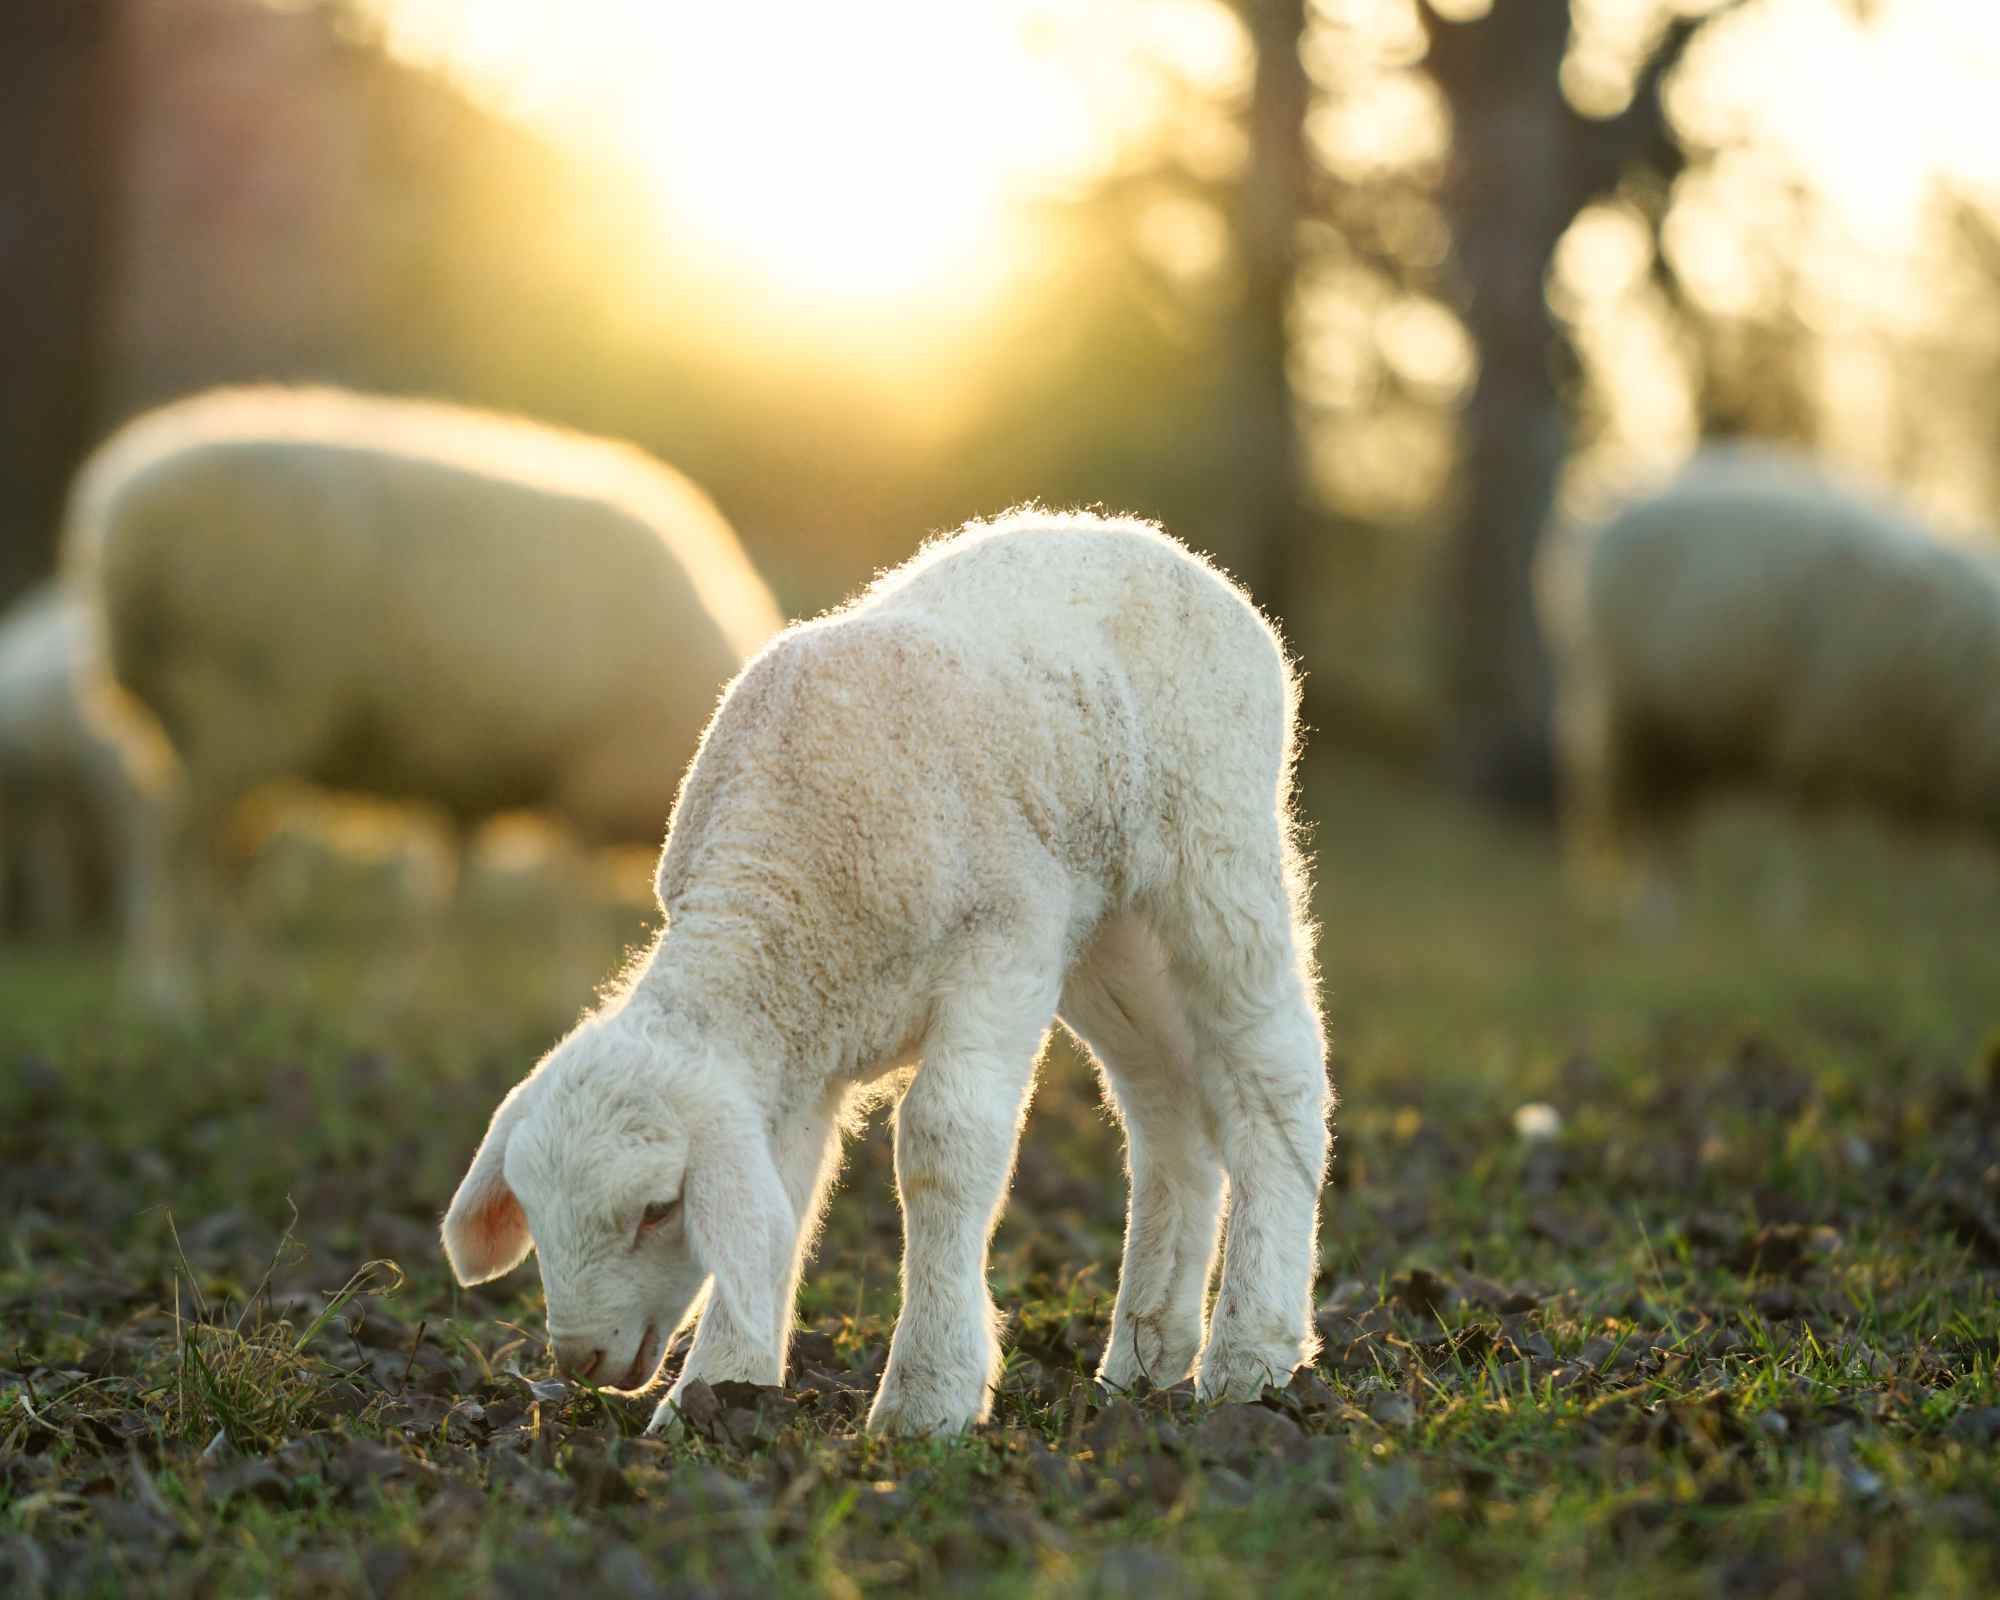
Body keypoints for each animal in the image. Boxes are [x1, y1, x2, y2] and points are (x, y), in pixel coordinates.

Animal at [63, 386, 784, 997]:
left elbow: (444, 891)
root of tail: (121, 512)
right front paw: (565, 980)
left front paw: (415, 989)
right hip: (235, 706)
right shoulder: (587, 782)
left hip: (218, 728)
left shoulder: (475, 785)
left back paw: (257, 981)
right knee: (169, 845)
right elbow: (564, 897)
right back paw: (166, 989)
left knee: (224, 861)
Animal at [441, 511, 1332, 1436]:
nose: (578, 1360)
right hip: (1105, 931)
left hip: (1216, 849)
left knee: (1274, 1076)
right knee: (1168, 1113)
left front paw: (927, 1397)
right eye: (534, 1211)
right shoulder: (798, 1052)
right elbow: (785, 1198)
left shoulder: (1002, 947)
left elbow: (944, 1144)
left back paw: (1251, 1355)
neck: (784, 893)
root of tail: (1137, 534)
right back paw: (1146, 1358)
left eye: (658, 1210)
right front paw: (716, 1394)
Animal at [1550, 444, 2000, 908]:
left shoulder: (1901, 775)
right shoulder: (1811, 743)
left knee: (1676, 836)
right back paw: (1659, 910)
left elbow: (1905, 869)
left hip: (1687, 741)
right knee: (1655, 839)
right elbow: (1796, 852)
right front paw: (1788, 910)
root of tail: (1618, 510)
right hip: (1638, 724)